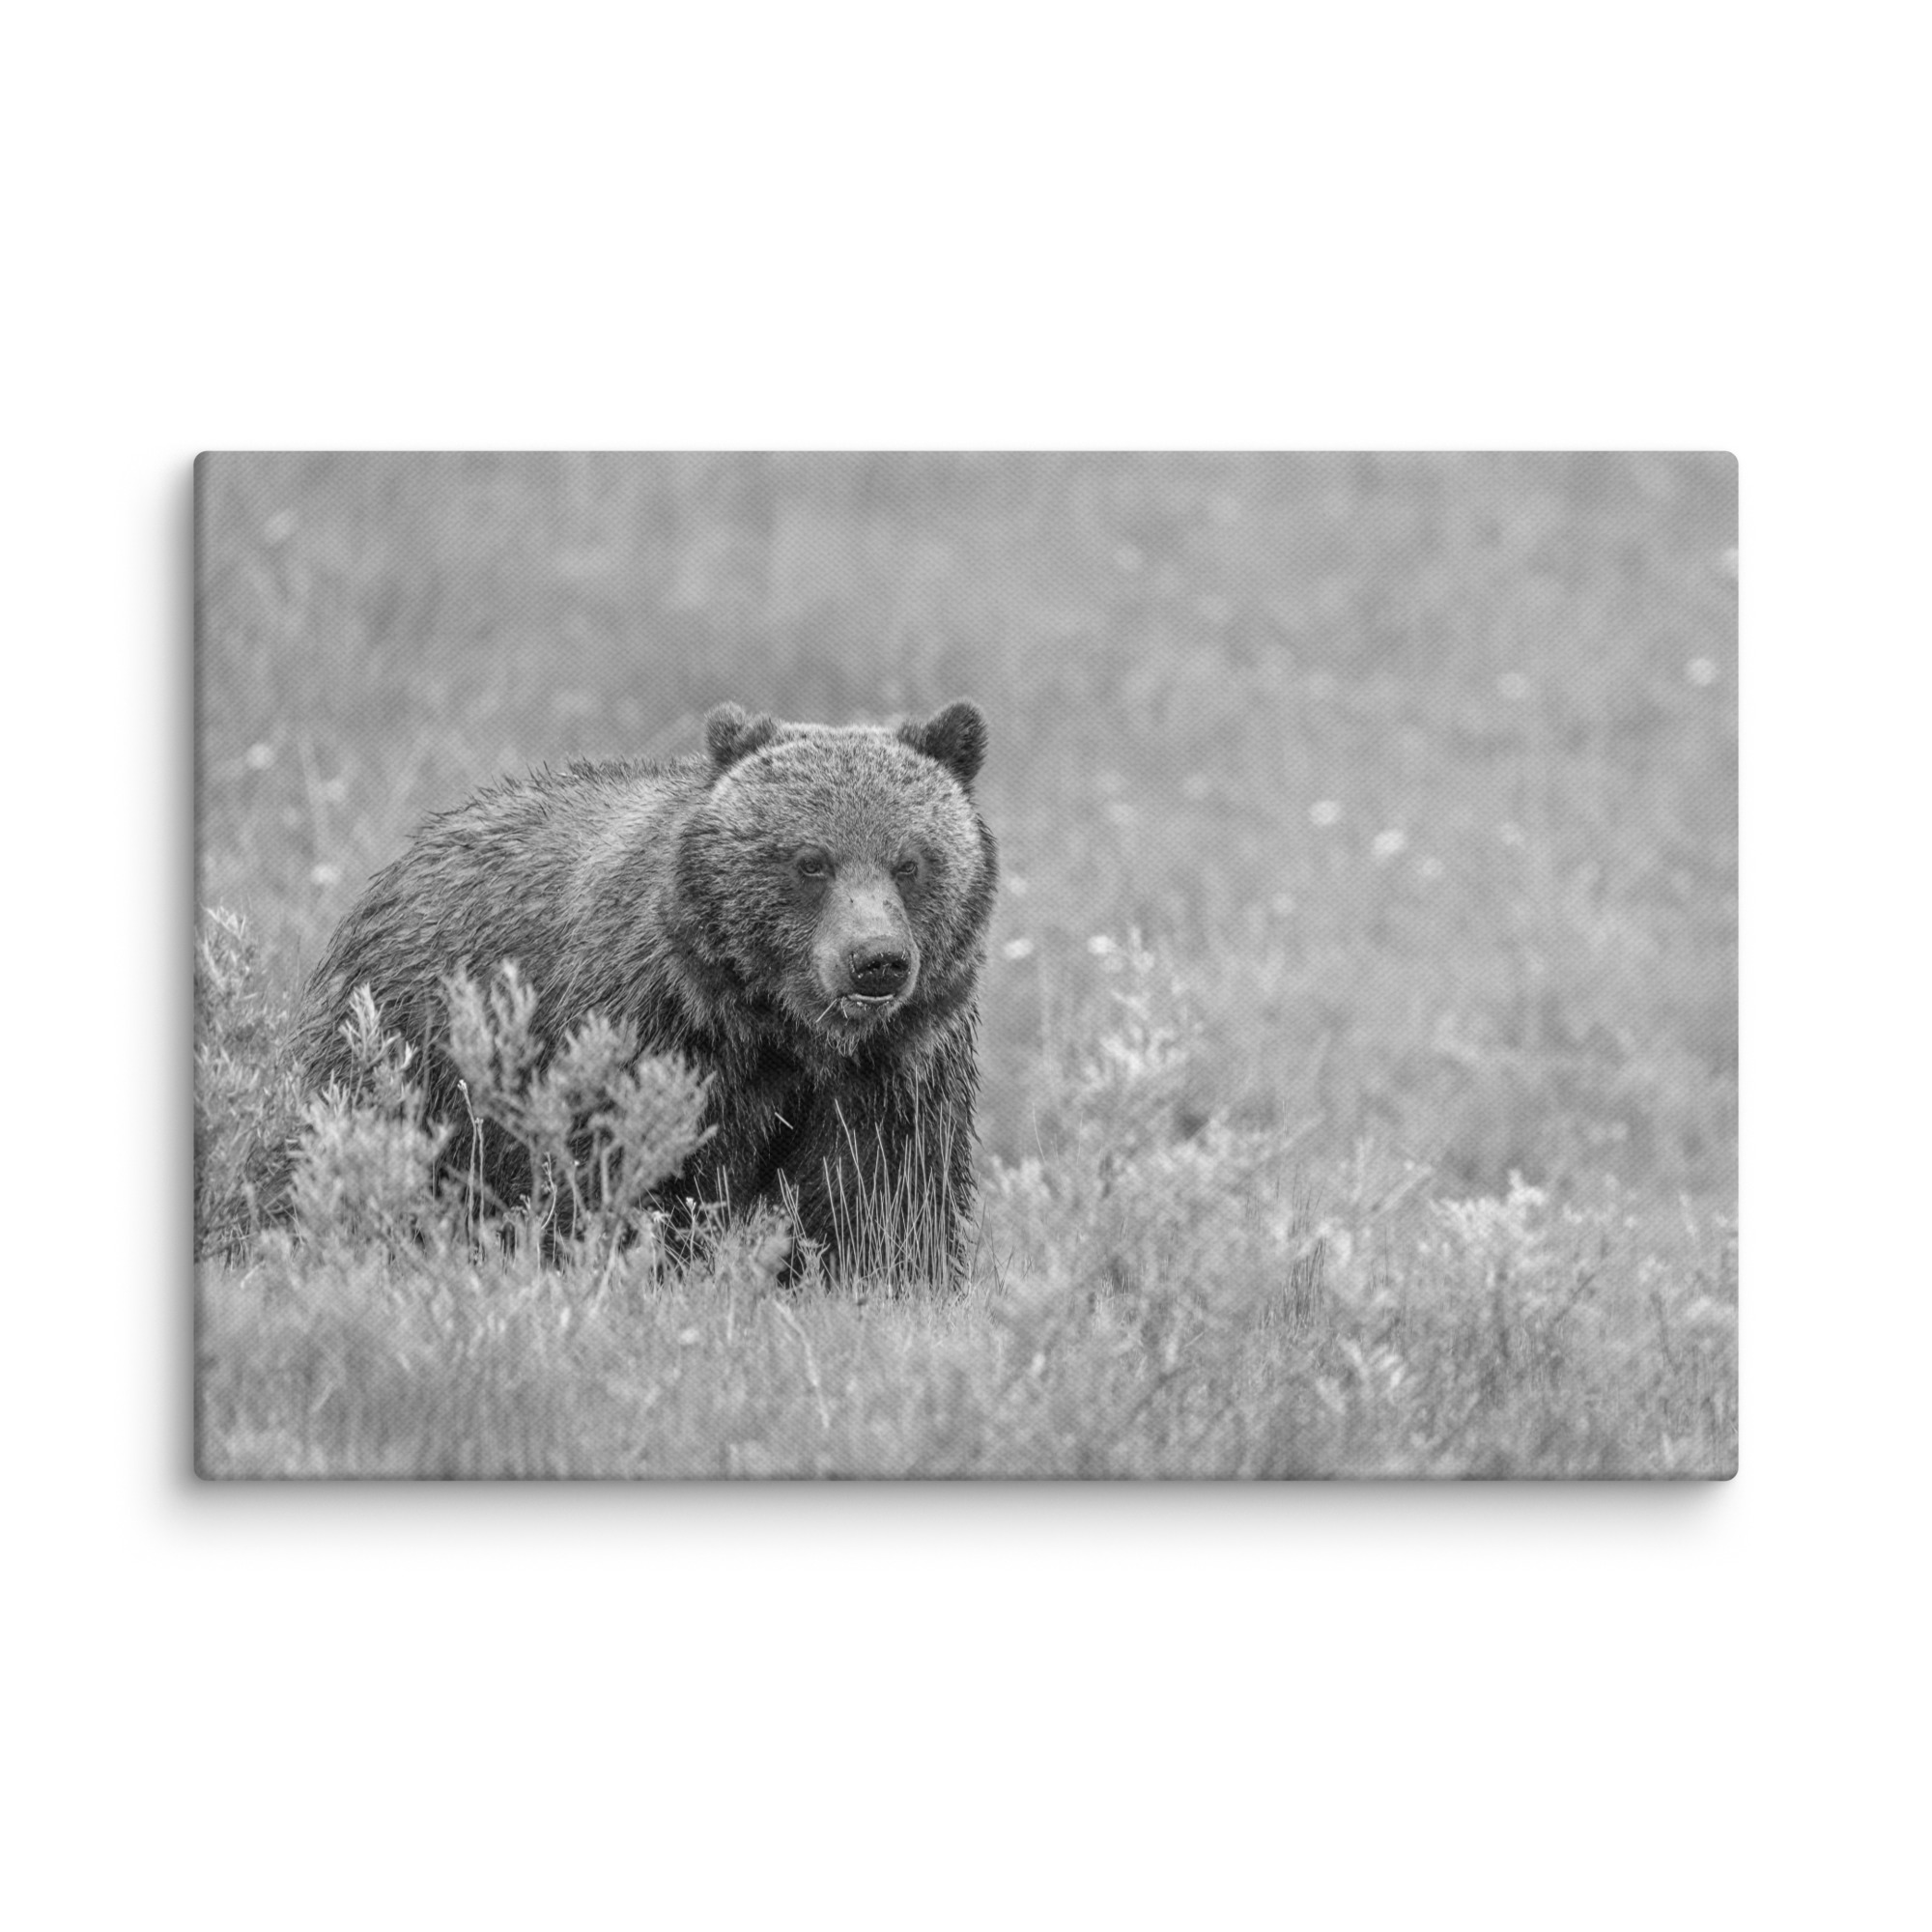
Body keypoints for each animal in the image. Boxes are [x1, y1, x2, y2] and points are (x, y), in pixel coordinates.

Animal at [294, 700, 997, 1285]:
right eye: (811, 861)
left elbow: (883, 1195)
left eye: (910, 862)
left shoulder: (895, 1068)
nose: (876, 961)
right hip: (412, 1049)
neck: (781, 1030)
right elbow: (630, 1172)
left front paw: (885, 1280)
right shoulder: (653, 1034)